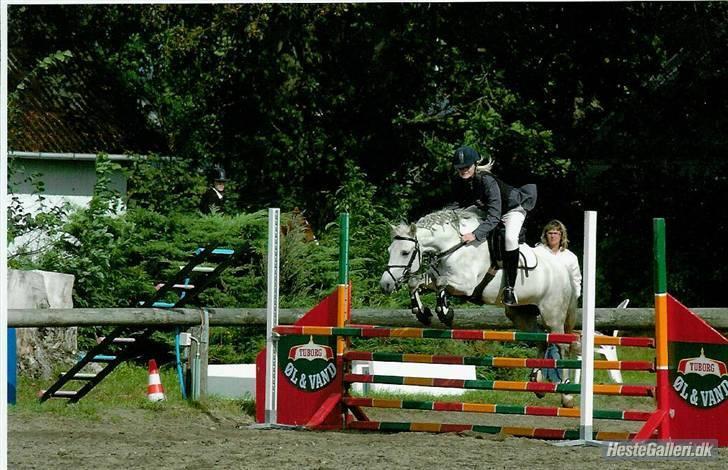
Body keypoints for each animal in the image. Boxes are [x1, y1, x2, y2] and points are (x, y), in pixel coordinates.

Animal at [380, 207, 578, 407]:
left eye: (405, 252)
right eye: (389, 250)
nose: (386, 285)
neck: (453, 247)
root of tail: (563, 269)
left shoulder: (465, 285)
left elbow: (441, 283)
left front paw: (444, 312)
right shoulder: (435, 277)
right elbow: (417, 282)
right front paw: (422, 313)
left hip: (552, 315)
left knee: (561, 344)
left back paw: (566, 394)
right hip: (521, 314)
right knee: (540, 340)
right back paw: (537, 384)